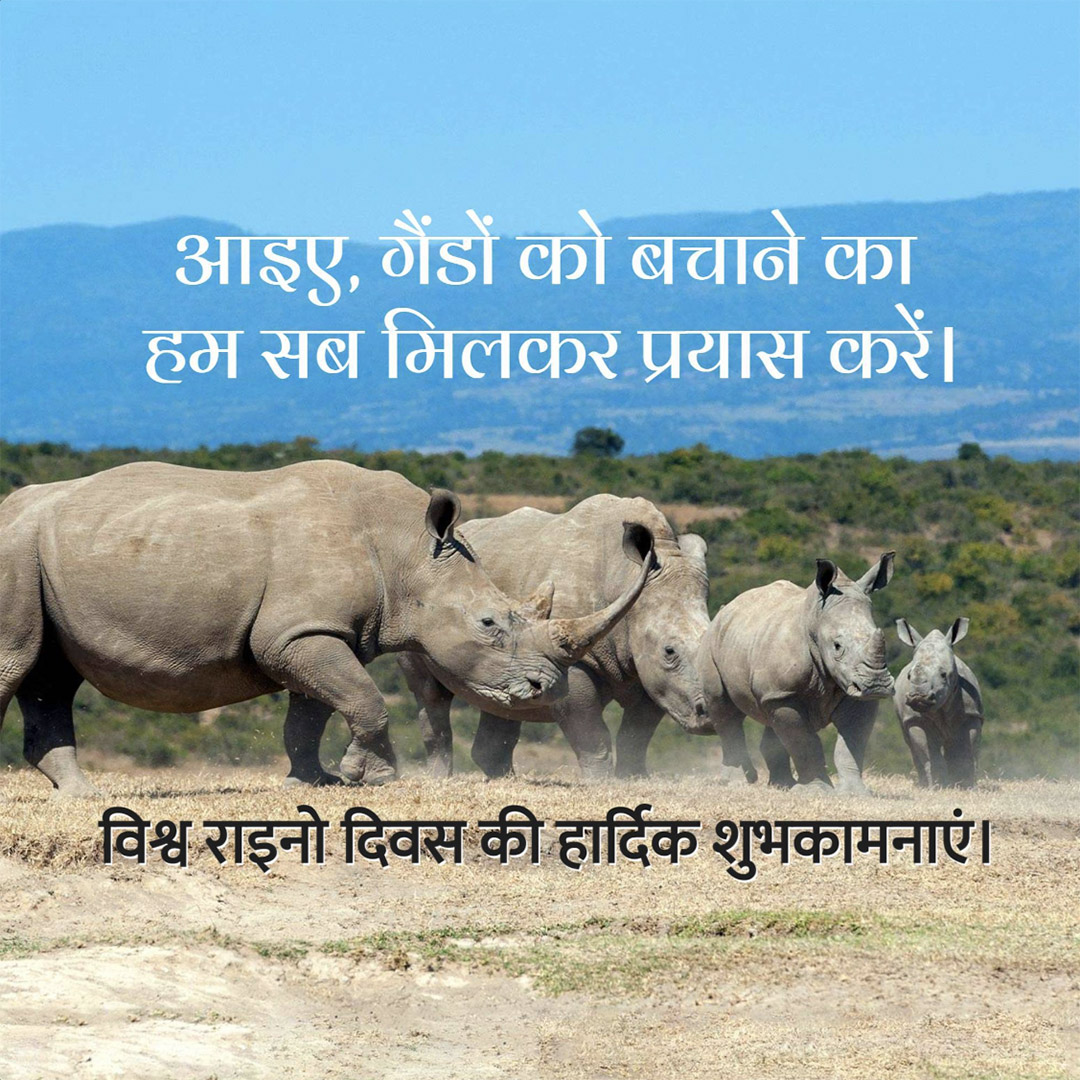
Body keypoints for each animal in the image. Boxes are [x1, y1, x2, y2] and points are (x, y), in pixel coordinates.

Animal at [0, 461, 653, 795]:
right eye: (490, 623)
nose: (544, 688)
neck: (406, 549)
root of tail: (11, 507)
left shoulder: (313, 632)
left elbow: (312, 711)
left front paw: (316, 782)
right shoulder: (299, 633)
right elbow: (365, 700)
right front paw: (373, 777)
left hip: (42, 556)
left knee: (50, 676)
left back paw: (81, 794)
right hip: (15, 549)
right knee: (18, 662)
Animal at [399, 495, 710, 779]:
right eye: (669, 651)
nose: (709, 715)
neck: (625, 577)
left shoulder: (650, 674)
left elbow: (636, 735)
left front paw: (633, 779)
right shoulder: (571, 660)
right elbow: (592, 735)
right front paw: (600, 783)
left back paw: (506, 779)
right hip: (420, 602)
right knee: (430, 693)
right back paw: (440, 778)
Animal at [698, 553, 895, 793]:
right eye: (837, 646)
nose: (877, 685)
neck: (815, 621)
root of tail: (725, 609)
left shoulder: (854, 690)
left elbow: (851, 743)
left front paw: (855, 792)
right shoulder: (784, 693)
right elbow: (804, 741)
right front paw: (818, 790)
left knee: (771, 720)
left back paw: (782, 785)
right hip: (712, 643)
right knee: (724, 710)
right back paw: (738, 783)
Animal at [894, 617, 984, 788]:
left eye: (943, 674)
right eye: (909, 676)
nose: (918, 697)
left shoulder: (971, 716)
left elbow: (962, 752)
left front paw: (963, 785)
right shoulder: (914, 719)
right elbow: (929, 753)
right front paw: (937, 785)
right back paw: (924, 784)